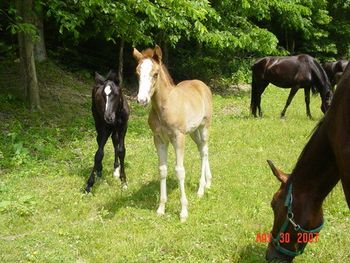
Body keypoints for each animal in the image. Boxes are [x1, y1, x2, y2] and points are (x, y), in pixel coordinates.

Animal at [133, 45, 212, 223]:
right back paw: (208, 182)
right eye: (137, 73)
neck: (164, 107)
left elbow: (179, 171)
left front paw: (183, 212)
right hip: (193, 132)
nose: (141, 100)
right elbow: (162, 170)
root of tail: (201, 84)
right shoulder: (159, 139)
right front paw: (161, 208)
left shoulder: (178, 137)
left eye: (155, 74)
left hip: (204, 126)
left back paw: (201, 189)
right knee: (201, 149)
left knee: (204, 151)